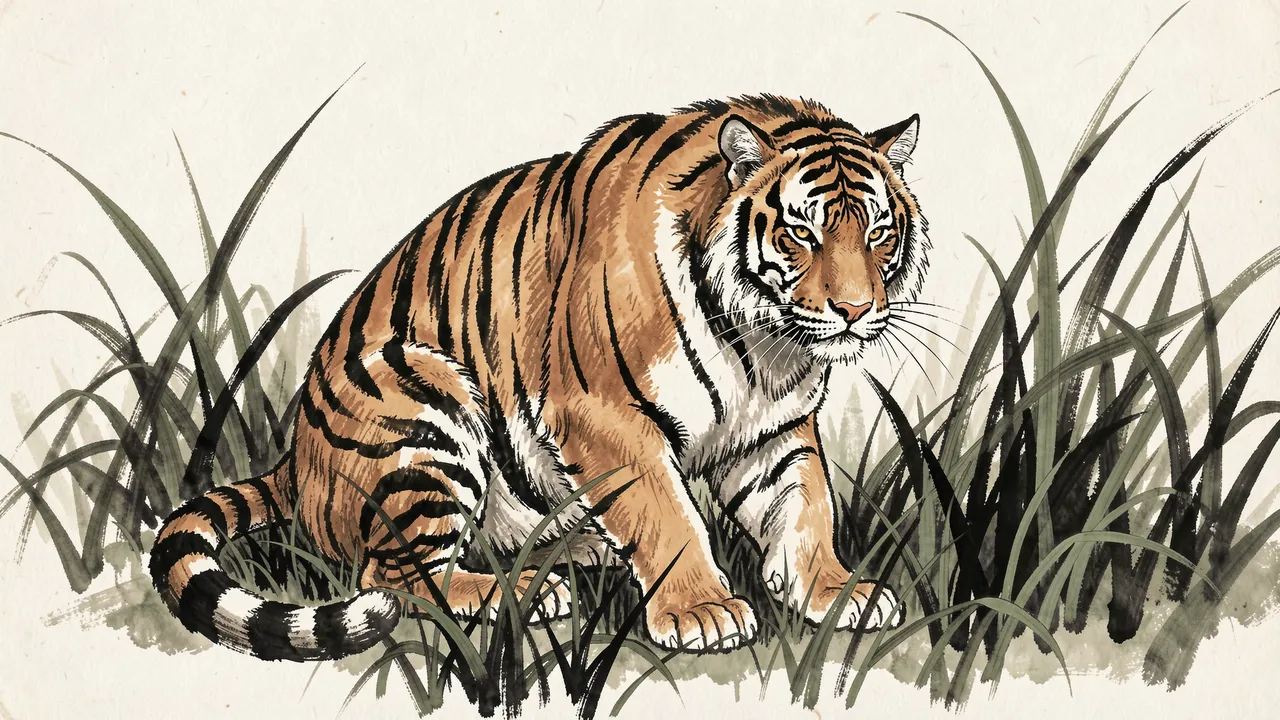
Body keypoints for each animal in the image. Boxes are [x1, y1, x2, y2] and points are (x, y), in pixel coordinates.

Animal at [150, 94, 929, 660]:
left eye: (878, 233)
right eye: (802, 233)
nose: (856, 310)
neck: (764, 345)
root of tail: (295, 461)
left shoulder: (774, 430)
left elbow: (805, 508)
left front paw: (836, 592)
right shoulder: (604, 417)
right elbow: (668, 515)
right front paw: (701, 610)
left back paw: (578, 550)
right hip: (425, 404)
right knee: (394, 576)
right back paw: (520, 589)